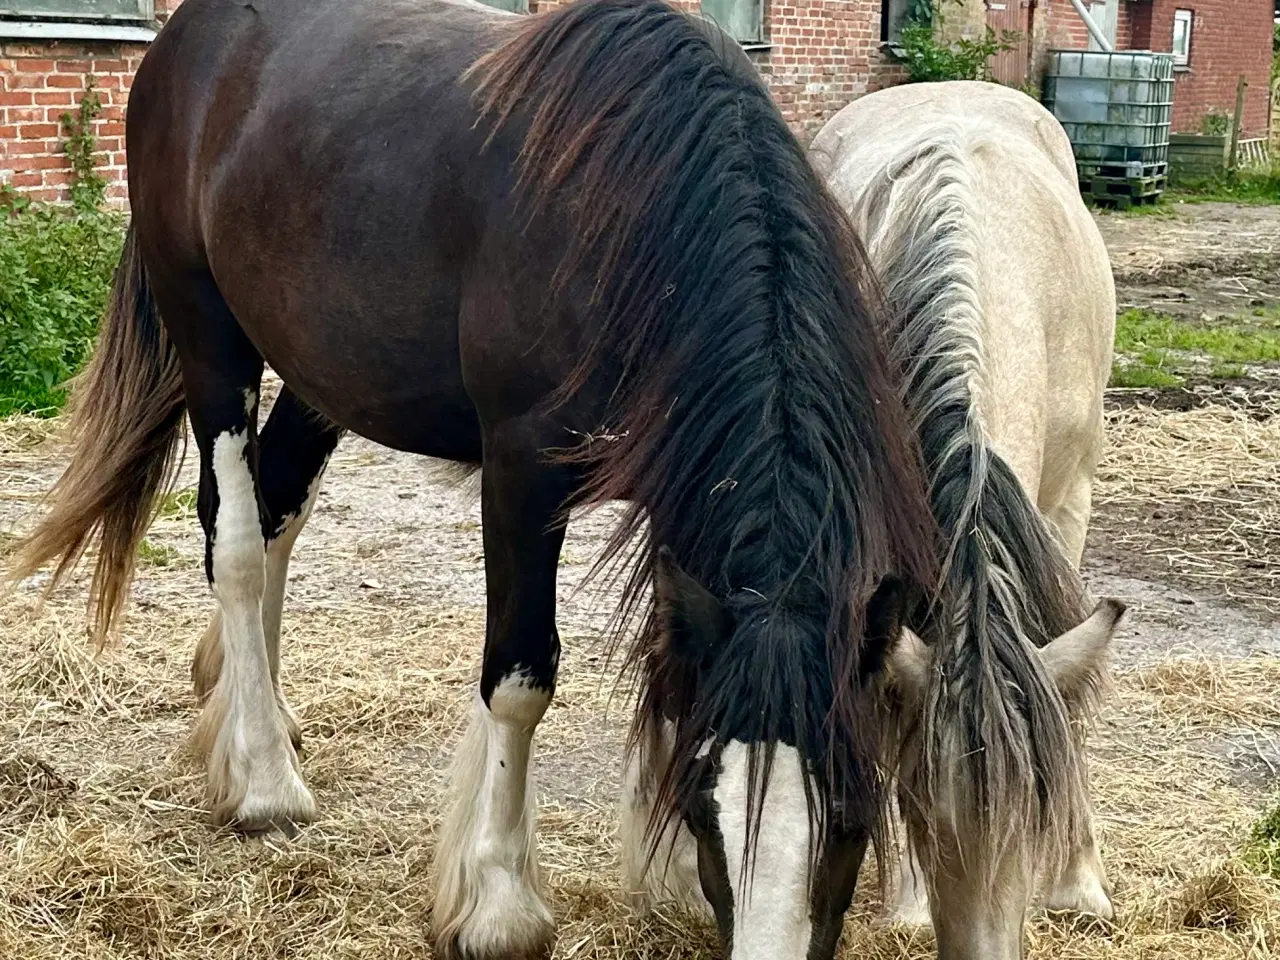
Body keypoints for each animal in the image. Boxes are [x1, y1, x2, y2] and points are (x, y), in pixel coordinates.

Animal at [12, 1, 942, 960]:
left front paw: (671, 878)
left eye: (856, 810)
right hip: (208, 336)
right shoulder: (524, 476)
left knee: (276, 512)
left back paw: (247, 710)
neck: (642, 221)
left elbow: (674, 662)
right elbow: (521, 678)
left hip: (325, 372)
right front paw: (498, 902)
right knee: (233, 537)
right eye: (706, 801)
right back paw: (263, 778)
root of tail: (187, 39)